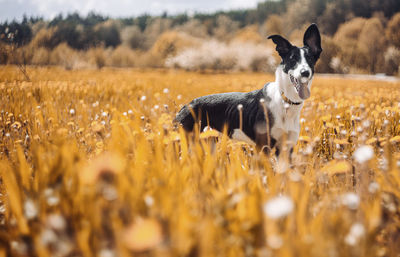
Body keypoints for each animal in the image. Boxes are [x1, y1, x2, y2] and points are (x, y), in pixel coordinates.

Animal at [174, 24, 322, 156]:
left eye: (310, 59)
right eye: (293, 59)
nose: (305, 73)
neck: (285, 101)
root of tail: (185, 106)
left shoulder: (286, 149)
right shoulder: (263, 147)